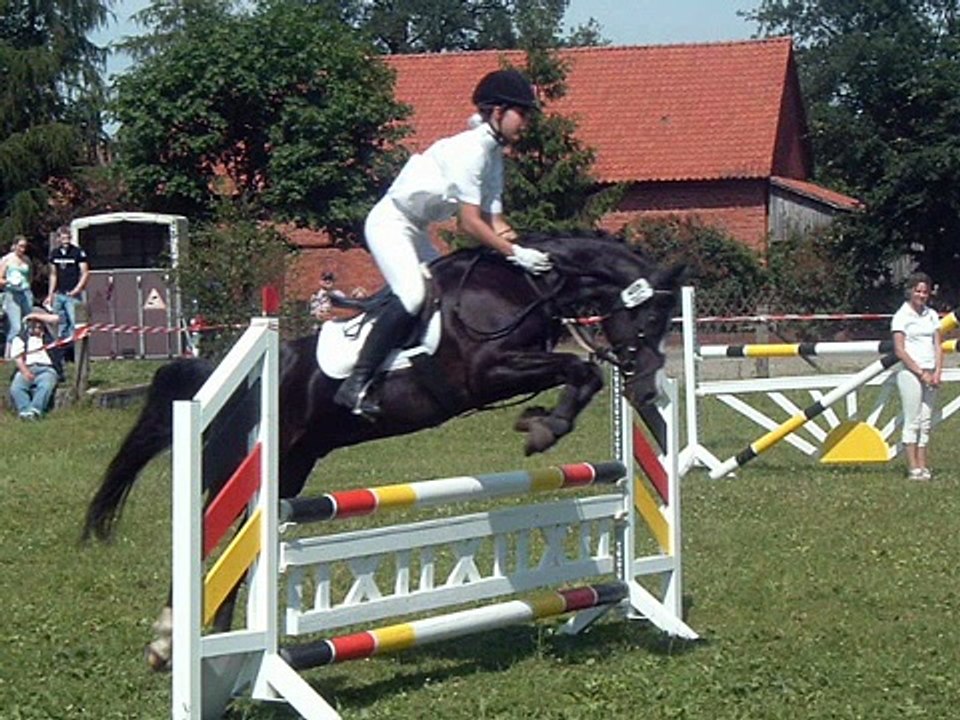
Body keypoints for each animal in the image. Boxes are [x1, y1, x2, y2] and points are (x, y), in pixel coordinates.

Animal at [82, 231, 684, 670]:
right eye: (652, 318)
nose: (648, 390)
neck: (525, 288)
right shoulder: (486, 371)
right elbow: (581, 370)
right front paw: (544, 426)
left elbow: (585, 375)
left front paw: (542, 422)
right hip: (244, 464)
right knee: (214, 532)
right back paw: (170, 641)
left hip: (289, 469)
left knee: (237, 543)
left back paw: (215, 640)